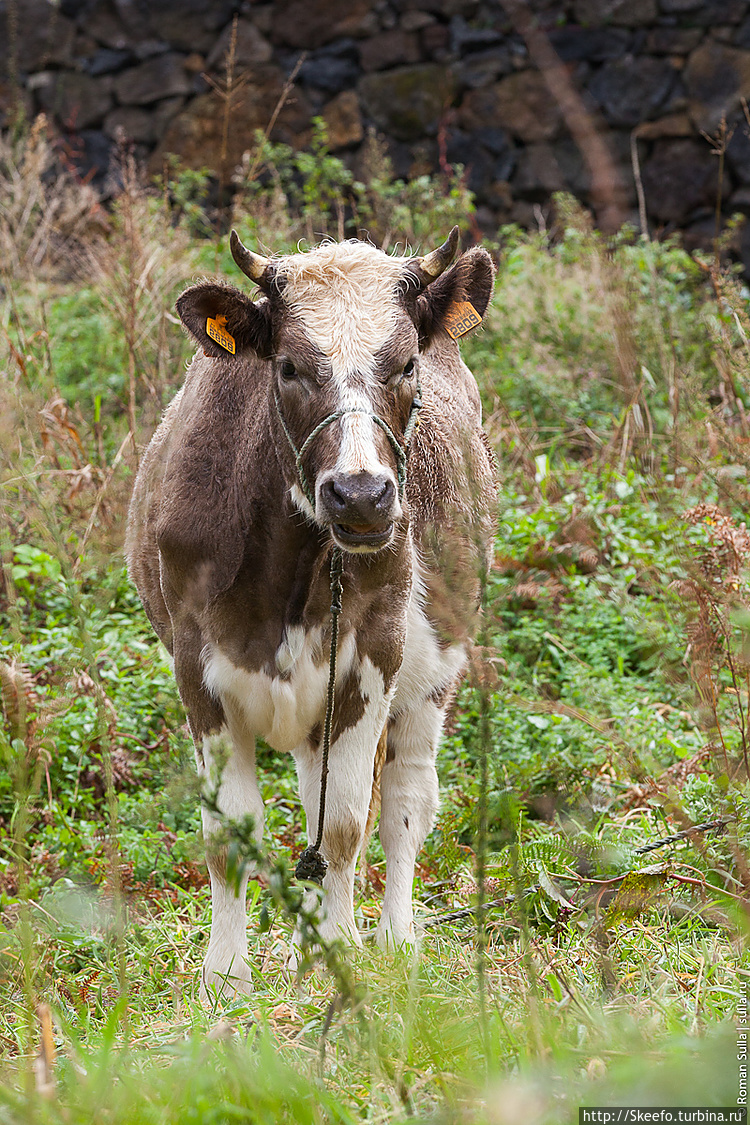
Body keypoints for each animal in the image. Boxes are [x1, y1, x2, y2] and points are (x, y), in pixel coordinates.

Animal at [127, 226, 499, 994]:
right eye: (291, 366)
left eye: (407, 362)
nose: (360, 495)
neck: (291, 574)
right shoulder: (197, 669)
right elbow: (231, 833)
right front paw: (226, 976)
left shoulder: (369, 663)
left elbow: (346, 825)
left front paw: (340, 954)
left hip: (434, 674)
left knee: (406, 801)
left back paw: (392, 938)